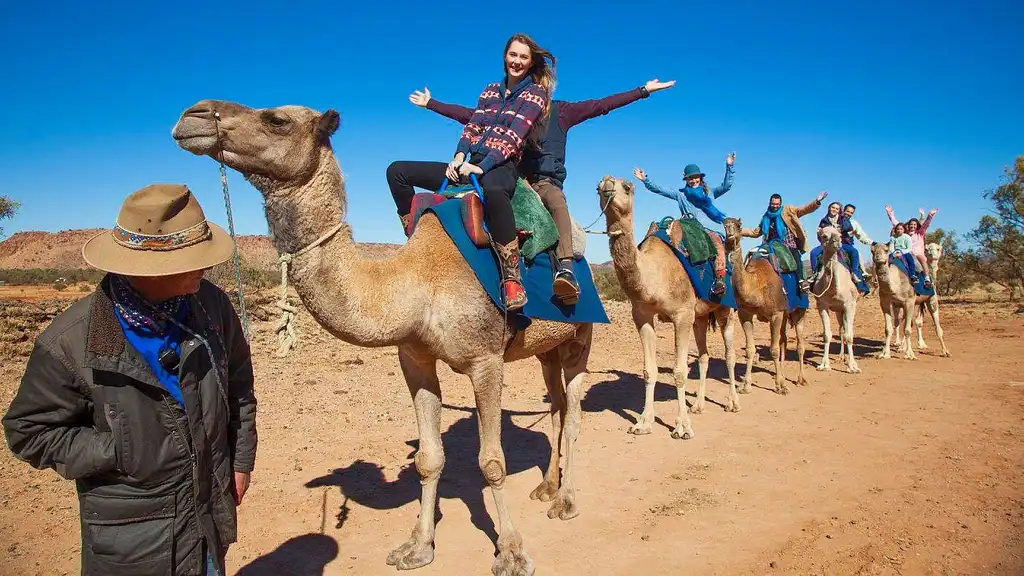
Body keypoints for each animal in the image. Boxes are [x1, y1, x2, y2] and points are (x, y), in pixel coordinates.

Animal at [172, 99, 593, 573]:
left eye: (276, 119)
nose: (193, 115)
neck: (415, 281)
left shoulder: (486, 360)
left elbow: (492, 462)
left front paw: (512, 552)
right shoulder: (415, 359)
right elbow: (429, 459)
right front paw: (417, 546)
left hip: (581, 334)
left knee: (574, 413)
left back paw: (565, 501)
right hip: (545, 348)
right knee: (556, 406)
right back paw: (546, 487)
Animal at [593, 176, 745, 438]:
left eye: (627, 187)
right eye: (597, 188)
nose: (607, 183)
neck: (654, 275)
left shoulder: (681, 315)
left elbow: (679, 371)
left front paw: (682, 427)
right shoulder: (642, 315)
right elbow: (649, 370)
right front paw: (643, 423)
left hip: (725, 309)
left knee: (729, 354)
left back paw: (732, 403)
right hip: (700, 316)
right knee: (704, 356)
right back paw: (698, 405)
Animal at [720, 216, 806, 393]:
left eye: (738, 225)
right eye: (724, 224)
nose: (730, 233)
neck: (756, 285)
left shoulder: (775, 314)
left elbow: (773, 350)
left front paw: (780, 386)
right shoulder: (745, 314)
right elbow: (750, 349)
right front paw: (745, 385)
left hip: (799, 310)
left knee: (800, 344)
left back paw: (799, 379)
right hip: (785, 313)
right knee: (783, 339)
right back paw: (781, 374)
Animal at [811, 224, 860, 373]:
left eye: (839, 234)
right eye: (824, 236)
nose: (837, 241)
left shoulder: (849, 305)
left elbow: (850, 335)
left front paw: (852, 366)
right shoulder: (822, 305)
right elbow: (827, 335)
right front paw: (824, 365)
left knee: (846, 330)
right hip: (838, 311)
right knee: (841, 329)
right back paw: (840, 357)